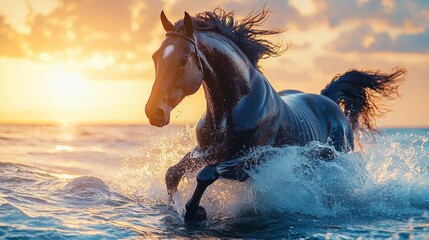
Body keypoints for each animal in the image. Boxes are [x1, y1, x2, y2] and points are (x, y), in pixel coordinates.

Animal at [144, 9, 404, 223]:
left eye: (183, 61)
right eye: (155, 57)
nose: (154, 112)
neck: (231, 111)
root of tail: (329, 100)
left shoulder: (250, 163)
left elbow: (206, 174)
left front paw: (194, 211)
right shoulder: (206, 151)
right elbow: (172, 173)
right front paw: (177, 207)